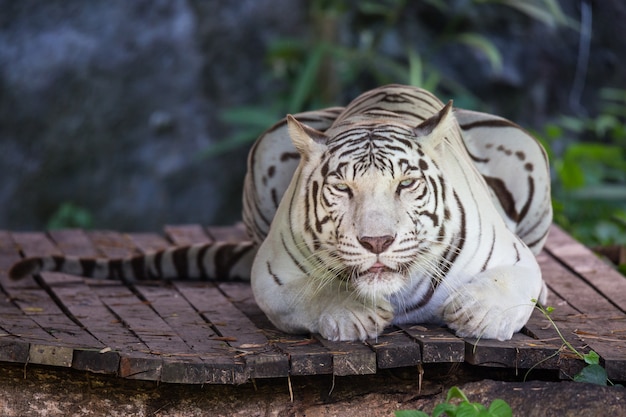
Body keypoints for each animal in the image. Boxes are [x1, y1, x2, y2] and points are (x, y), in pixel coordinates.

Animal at [9, 84, 548, 342]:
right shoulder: (273, 272)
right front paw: (351, 316)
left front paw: (478, 314)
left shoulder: (516, 257)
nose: (377, 243)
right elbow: (309, 295)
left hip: (526, 148)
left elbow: (514, 282)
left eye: (405, 184)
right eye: (342, 188)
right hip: (264, 147)